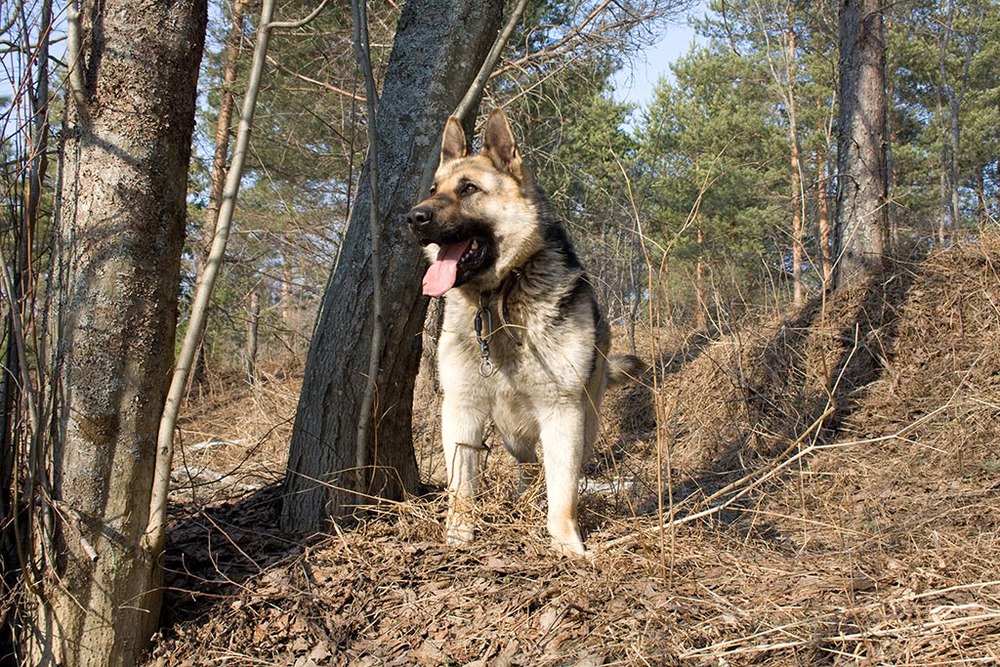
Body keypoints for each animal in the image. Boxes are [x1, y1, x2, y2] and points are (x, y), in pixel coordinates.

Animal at [406, 109, 640, 560]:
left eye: (469, 189)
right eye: (433, 190)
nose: (413, 217)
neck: (499, 296)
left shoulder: (563, 414)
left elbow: (563, 492)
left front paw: (567, 544)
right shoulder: (461, 410)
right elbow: (461, 486)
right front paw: (458, 535)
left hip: (584, 420)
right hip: (514, 435)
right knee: (526, 468)